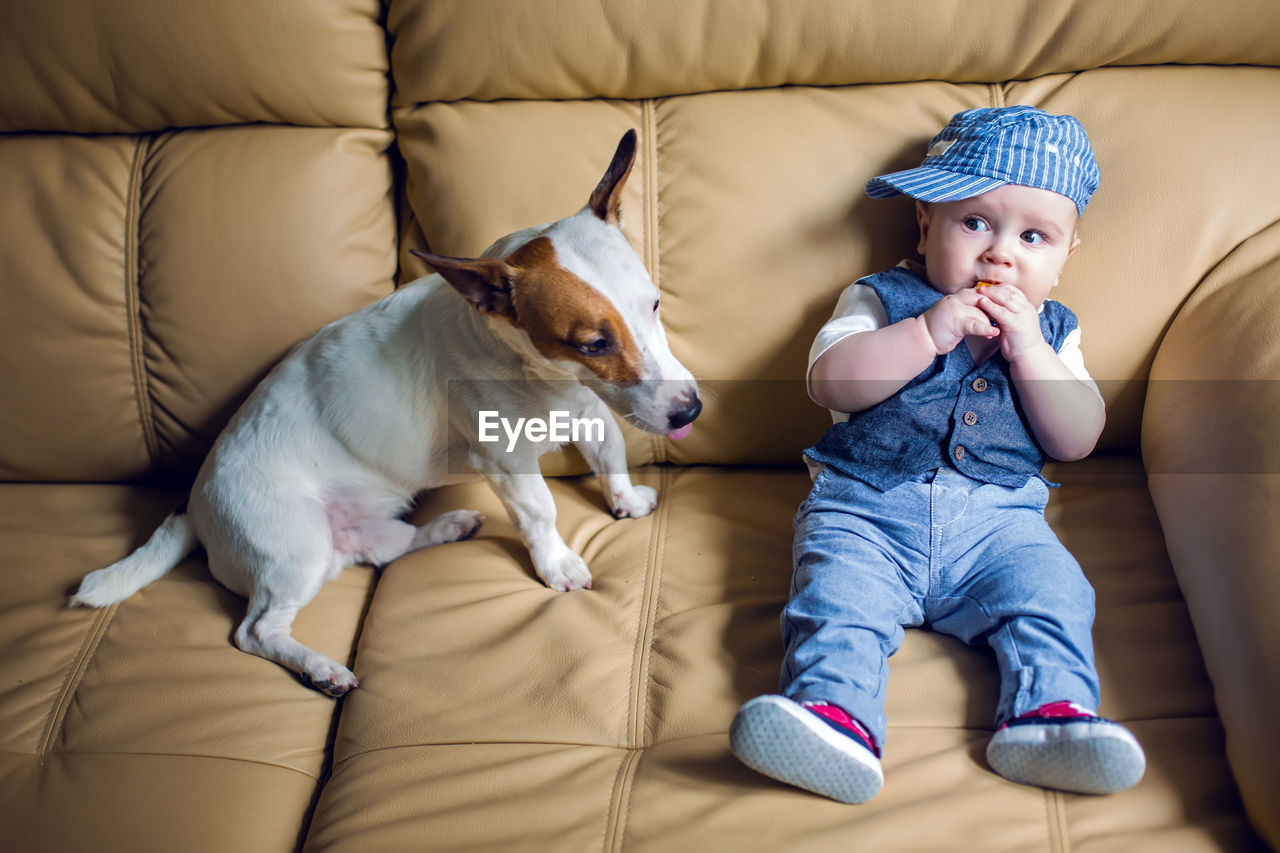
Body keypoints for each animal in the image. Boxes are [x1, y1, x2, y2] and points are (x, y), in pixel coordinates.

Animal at [70, 129, 701, 696]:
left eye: (654, 304)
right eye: (592, 344)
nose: (690, 409)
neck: (543, 377)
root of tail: (193, 506)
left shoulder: (592, 412)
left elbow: (611, 455)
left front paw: (624, 500)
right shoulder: (505, 459)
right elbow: (541, 511)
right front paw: (558, 563)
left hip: (356, 534)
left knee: (386, 549)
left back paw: (446, 528)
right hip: (294, 550)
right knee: (255, 631)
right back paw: (320, 668)